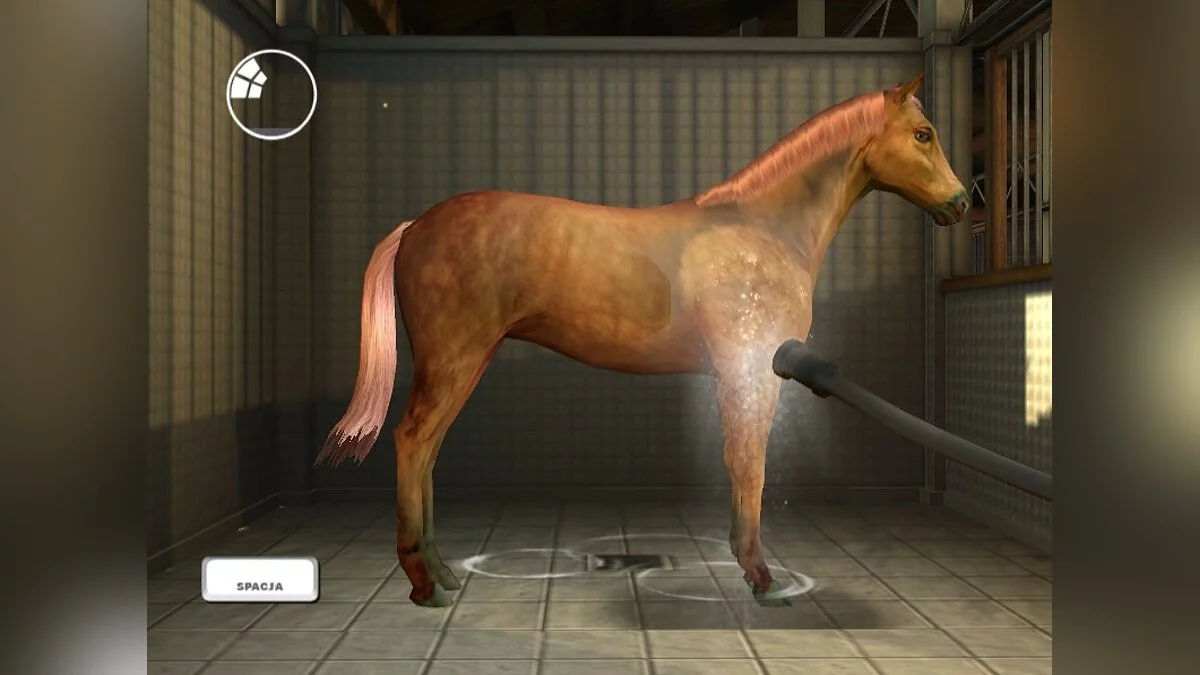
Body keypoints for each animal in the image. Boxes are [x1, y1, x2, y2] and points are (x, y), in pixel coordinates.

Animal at [315, 73, 969, 608]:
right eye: (923, 134)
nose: (961, 204)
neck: (761, 230)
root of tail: (416, 226)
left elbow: (741, 463)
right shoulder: (749, 370)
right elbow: (749, 464)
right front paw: (762, 579)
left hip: (467, 361)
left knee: (428, 450)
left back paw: (443, 573)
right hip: (454, 358)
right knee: (412, 442)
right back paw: (426, 585)